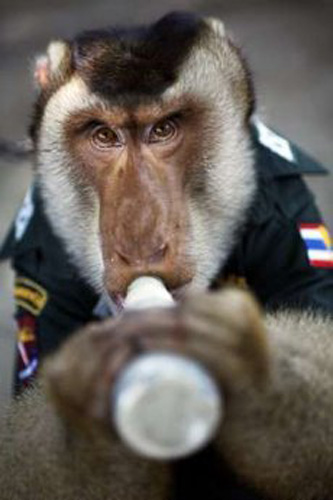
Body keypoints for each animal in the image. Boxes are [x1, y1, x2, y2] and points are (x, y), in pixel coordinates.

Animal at [0, 9, 330, 500]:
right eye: (104, 135)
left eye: (163, 129)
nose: (139, 238)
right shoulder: (41, 265)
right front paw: (88, 422)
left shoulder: (289, 219)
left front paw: (254, 368)